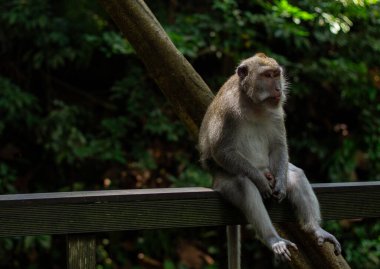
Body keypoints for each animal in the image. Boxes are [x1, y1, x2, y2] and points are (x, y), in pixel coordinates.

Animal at [199, 52, 342, 264]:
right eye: (267, 76)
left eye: (276, 74)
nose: (278, 89)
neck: (253, 104)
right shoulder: (228, 112)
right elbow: (222, 151)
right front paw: (259, 181)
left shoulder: (277, 112)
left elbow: (279, 146)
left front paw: (281, 185)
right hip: (222, 179)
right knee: (243, 184)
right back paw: (272, 238)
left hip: (272, 168)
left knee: (295, 174)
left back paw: (315, 229)